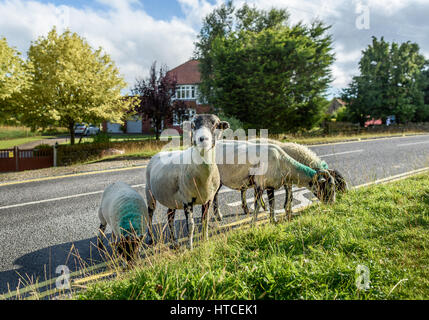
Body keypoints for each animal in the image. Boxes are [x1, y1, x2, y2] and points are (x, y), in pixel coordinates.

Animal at [145, 114, 231, 250]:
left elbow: (205, 221)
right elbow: (191, 226)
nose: (203, 139)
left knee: (169, 215)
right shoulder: (187, 200)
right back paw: (150, 238)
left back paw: (174, 242)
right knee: (150, 214)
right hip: (149, 192)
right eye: (193, 125)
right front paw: (190, 248)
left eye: (216, 125)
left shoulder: (208, 199)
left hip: (171, 198)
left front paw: (205, 241)